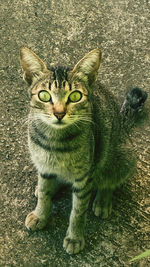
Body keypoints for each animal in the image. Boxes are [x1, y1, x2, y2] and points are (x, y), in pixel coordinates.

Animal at [20, 48, 137, 255]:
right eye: (44, 95)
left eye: (75, 96)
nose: (59, 113)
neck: (55, 142)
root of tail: (124, 126)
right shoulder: (43, 165)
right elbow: (44, 194)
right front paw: (41, 214)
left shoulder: (84, 177)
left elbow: (78, 211)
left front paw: (75, 238)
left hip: (121, 158)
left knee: (109, 181)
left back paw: (102, 201)